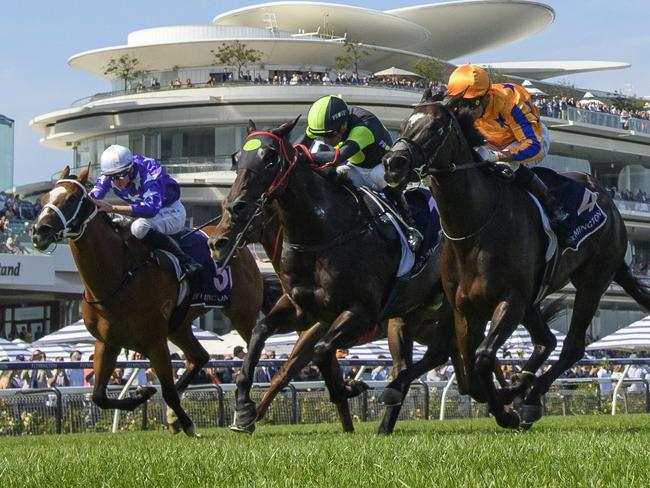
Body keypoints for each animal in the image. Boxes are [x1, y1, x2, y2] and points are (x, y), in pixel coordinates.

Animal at [29, 166, 268, 436]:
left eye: (70, 199)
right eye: (46, 197)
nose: (39, 231)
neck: (118, 275)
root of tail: (242, 246)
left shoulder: (155, 342)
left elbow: (168, 392)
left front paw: (187, 423)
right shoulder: (107, 342)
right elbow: (99, 396)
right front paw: (142, 394)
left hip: (242, 314)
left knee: (254, 349)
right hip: (179, 326)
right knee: (200, 357)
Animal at [380, 87, 648, 428]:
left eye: (436, 128)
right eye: (402, 126)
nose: (393, 163)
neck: (474, 228)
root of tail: (608, 202)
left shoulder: (511, 299)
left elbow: (482, 357)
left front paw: (505, 407)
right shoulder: (464, 308)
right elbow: (468, 364)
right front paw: (502, 402)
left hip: (592, 281)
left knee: (572, 346)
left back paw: (529, 398)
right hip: (535, 297)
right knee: (546, 341)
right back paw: (521, 388)